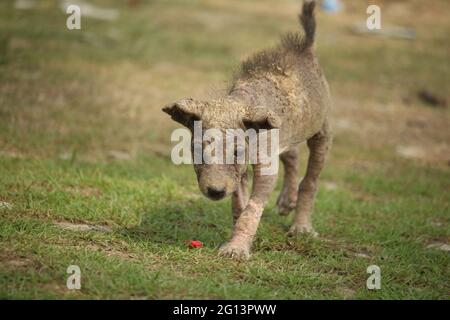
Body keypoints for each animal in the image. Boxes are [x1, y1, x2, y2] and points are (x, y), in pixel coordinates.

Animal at [163, 0, 332, 258]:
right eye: (197, 150)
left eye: (237, 152)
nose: (215, 191)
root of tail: (305, 47)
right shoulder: (239, 172)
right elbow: (238, 205)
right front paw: (237, 240)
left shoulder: (264, 167)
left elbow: (251, 209)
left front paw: (237, 248)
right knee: (292, 155)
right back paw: (286, 201)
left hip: (321, 129)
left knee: (310, 179)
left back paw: (301, 226)